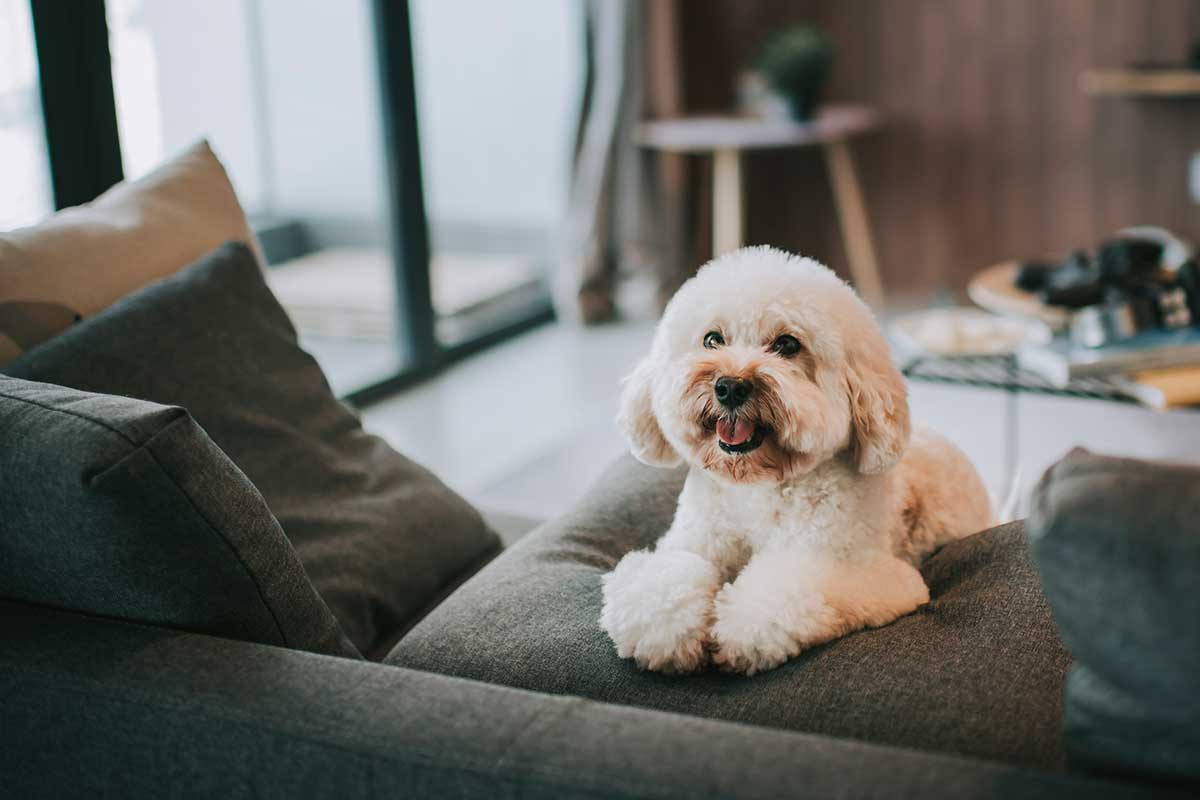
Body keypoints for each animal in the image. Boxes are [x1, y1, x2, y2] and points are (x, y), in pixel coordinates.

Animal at [604, 248, 988, 676]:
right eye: (712, 339)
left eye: (787, 345)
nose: (730, 386)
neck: (759, 487)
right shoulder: (693, 539)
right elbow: (663, 579)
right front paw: (666, 633)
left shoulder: (872, 573)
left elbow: (786, 589)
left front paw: (738, 630)